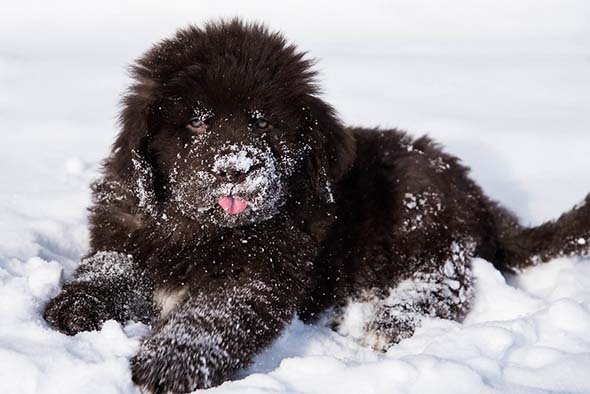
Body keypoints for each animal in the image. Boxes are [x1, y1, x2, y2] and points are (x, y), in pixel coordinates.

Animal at [45, 19, 590, 394]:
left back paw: (386, 322)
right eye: (197, 123)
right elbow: (111, 265)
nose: (236, 168)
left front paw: (168, 362)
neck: (201, 229)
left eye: (261, 122)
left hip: (417, 211)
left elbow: (211, 314)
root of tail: (474, 191)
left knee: (443, 282)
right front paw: (74, 305)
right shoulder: (127, 225)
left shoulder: (260, 274)